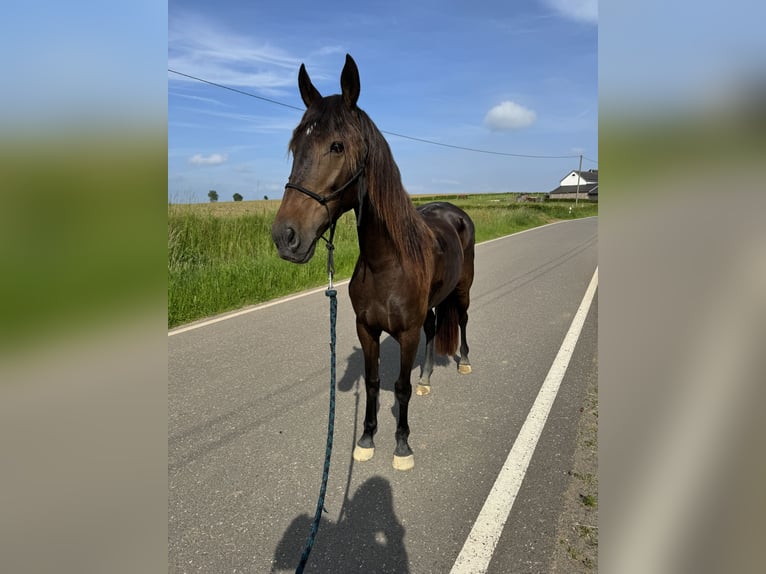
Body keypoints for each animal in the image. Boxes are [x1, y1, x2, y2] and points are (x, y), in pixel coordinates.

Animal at [270, 54, 474, 472]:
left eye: (337, 146)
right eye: (295, 146)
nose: (285, 236)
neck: (386, 263)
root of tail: (455, 211)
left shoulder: (406, 333)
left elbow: (400, 386)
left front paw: (402, 445)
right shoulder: (366, 329)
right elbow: (373, 382)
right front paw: (366, 439)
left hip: (463, 290)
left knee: (461, 320)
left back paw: (462, 362)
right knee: (434, 329)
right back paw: (428, 377)